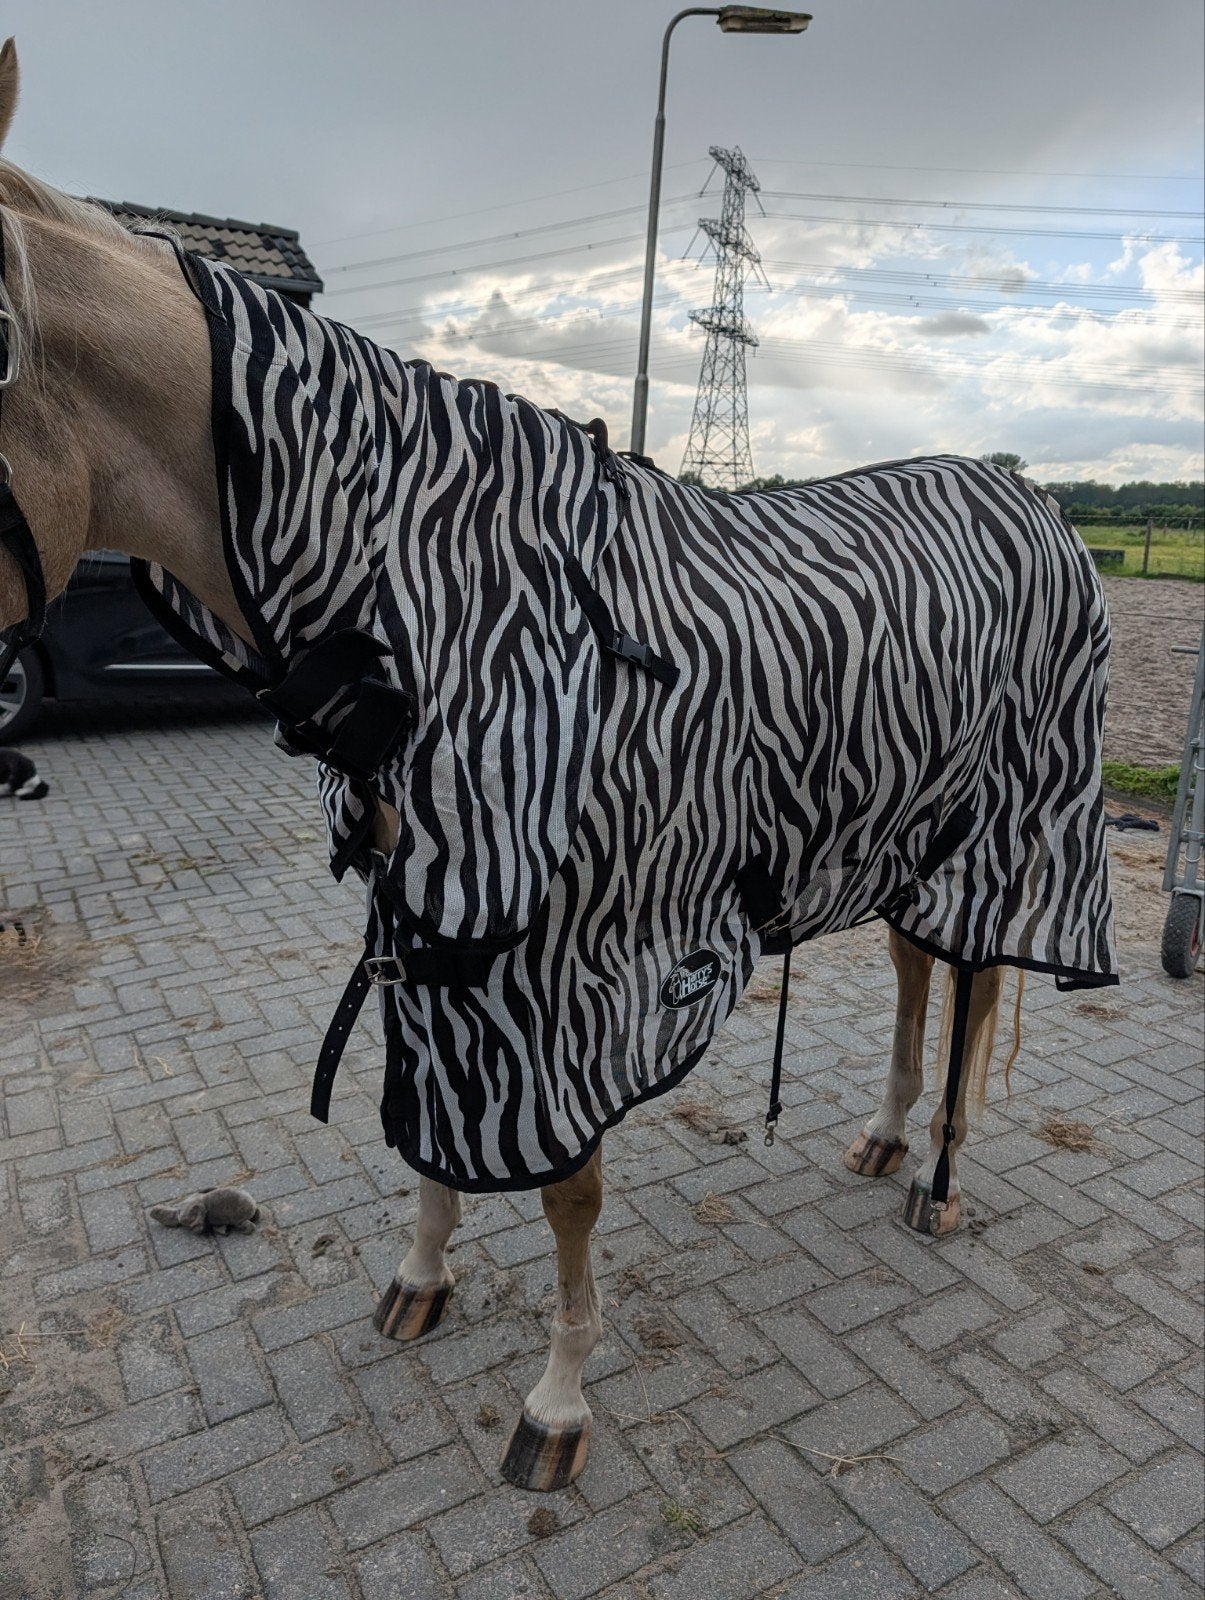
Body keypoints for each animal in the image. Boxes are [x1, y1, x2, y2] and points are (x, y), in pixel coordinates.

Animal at [0, 39, 1115, 1492]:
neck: (431, 604)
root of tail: (1034, 499)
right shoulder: (432, 936)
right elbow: (424, 1128)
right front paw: (420, 1281)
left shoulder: (574, 965)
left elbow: (568, 1189)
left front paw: (558, 1400)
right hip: (903, 828)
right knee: (917, 969)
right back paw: (882, 1138)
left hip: (1012, 833)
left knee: (976, 977)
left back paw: (938, 1180)